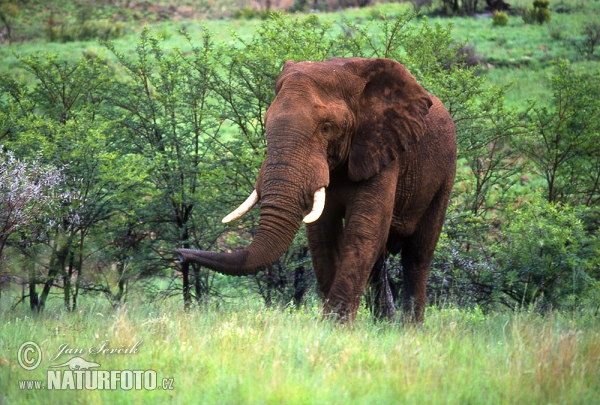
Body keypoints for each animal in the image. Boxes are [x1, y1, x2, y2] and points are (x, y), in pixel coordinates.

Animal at [176, 56, 458, 322]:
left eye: (327, 128)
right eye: (266, 123)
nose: (179, 253)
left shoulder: (382, 147)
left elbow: (363, 230)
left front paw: (336, 327)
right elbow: (322, 235)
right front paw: (330, 325)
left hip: (445, 172)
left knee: (418, 254)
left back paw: (408, 329)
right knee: (381, 260)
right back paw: (383, 326)